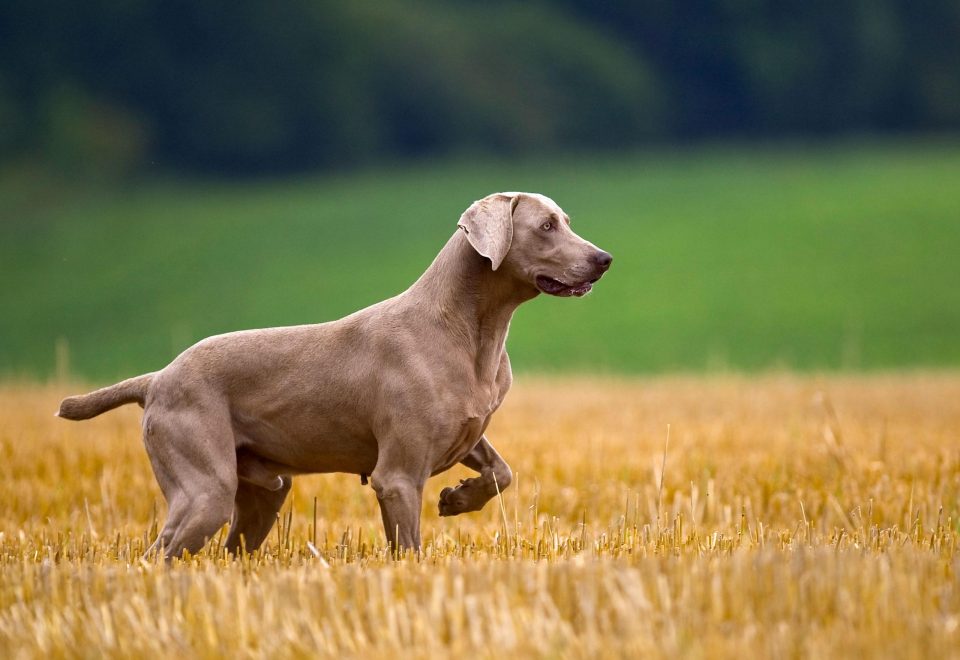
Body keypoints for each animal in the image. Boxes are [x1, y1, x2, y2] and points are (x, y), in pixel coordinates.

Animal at [60, 193, 612, 560]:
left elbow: (502, 473)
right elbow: (409, 547)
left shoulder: (466, 433)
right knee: (159, 553)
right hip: (204, 491)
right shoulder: (397, 476)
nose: (604, 260)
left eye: (565, 221)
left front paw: (457, 499)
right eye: (546, 226)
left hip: (263, 491)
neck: (469, 329)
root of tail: (155, 379)